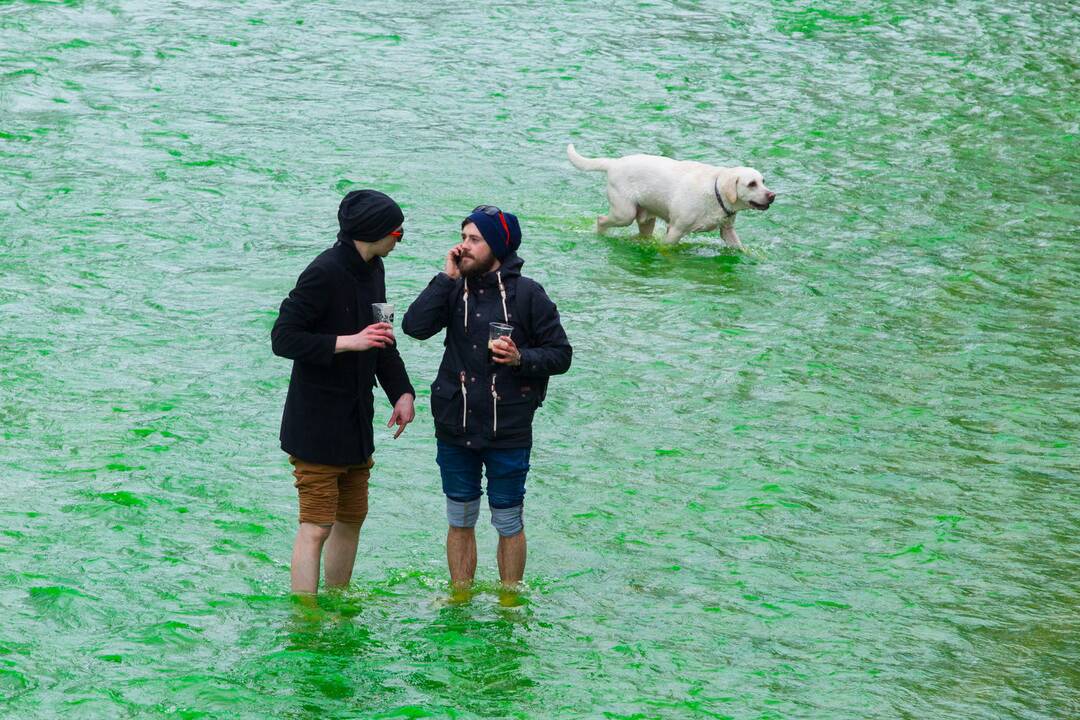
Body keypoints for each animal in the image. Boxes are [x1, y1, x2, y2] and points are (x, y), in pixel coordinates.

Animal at [570, 143, 773, 250]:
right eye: (752, 184)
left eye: (763, 181)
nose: (772, 195)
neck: (715, 194)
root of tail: (613, 163)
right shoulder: (675, 230)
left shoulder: (728, 231)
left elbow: (740, 248)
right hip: (624, 214)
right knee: (601, 219)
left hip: (646, 219)